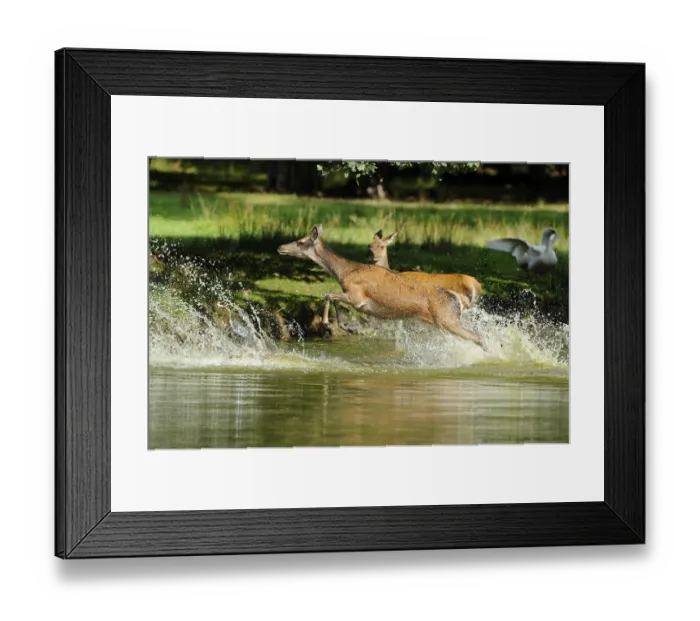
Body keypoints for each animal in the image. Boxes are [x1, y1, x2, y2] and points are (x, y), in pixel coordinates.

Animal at [277, 225, 485, 349]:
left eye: (300, 241)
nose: (280, 247)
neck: (345, 273)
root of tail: (458, 298)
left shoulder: (357, 296)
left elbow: (328, 294)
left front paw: (327, 324)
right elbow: (333, 298)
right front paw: (348, 328)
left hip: (447, 319)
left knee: (478, 336)